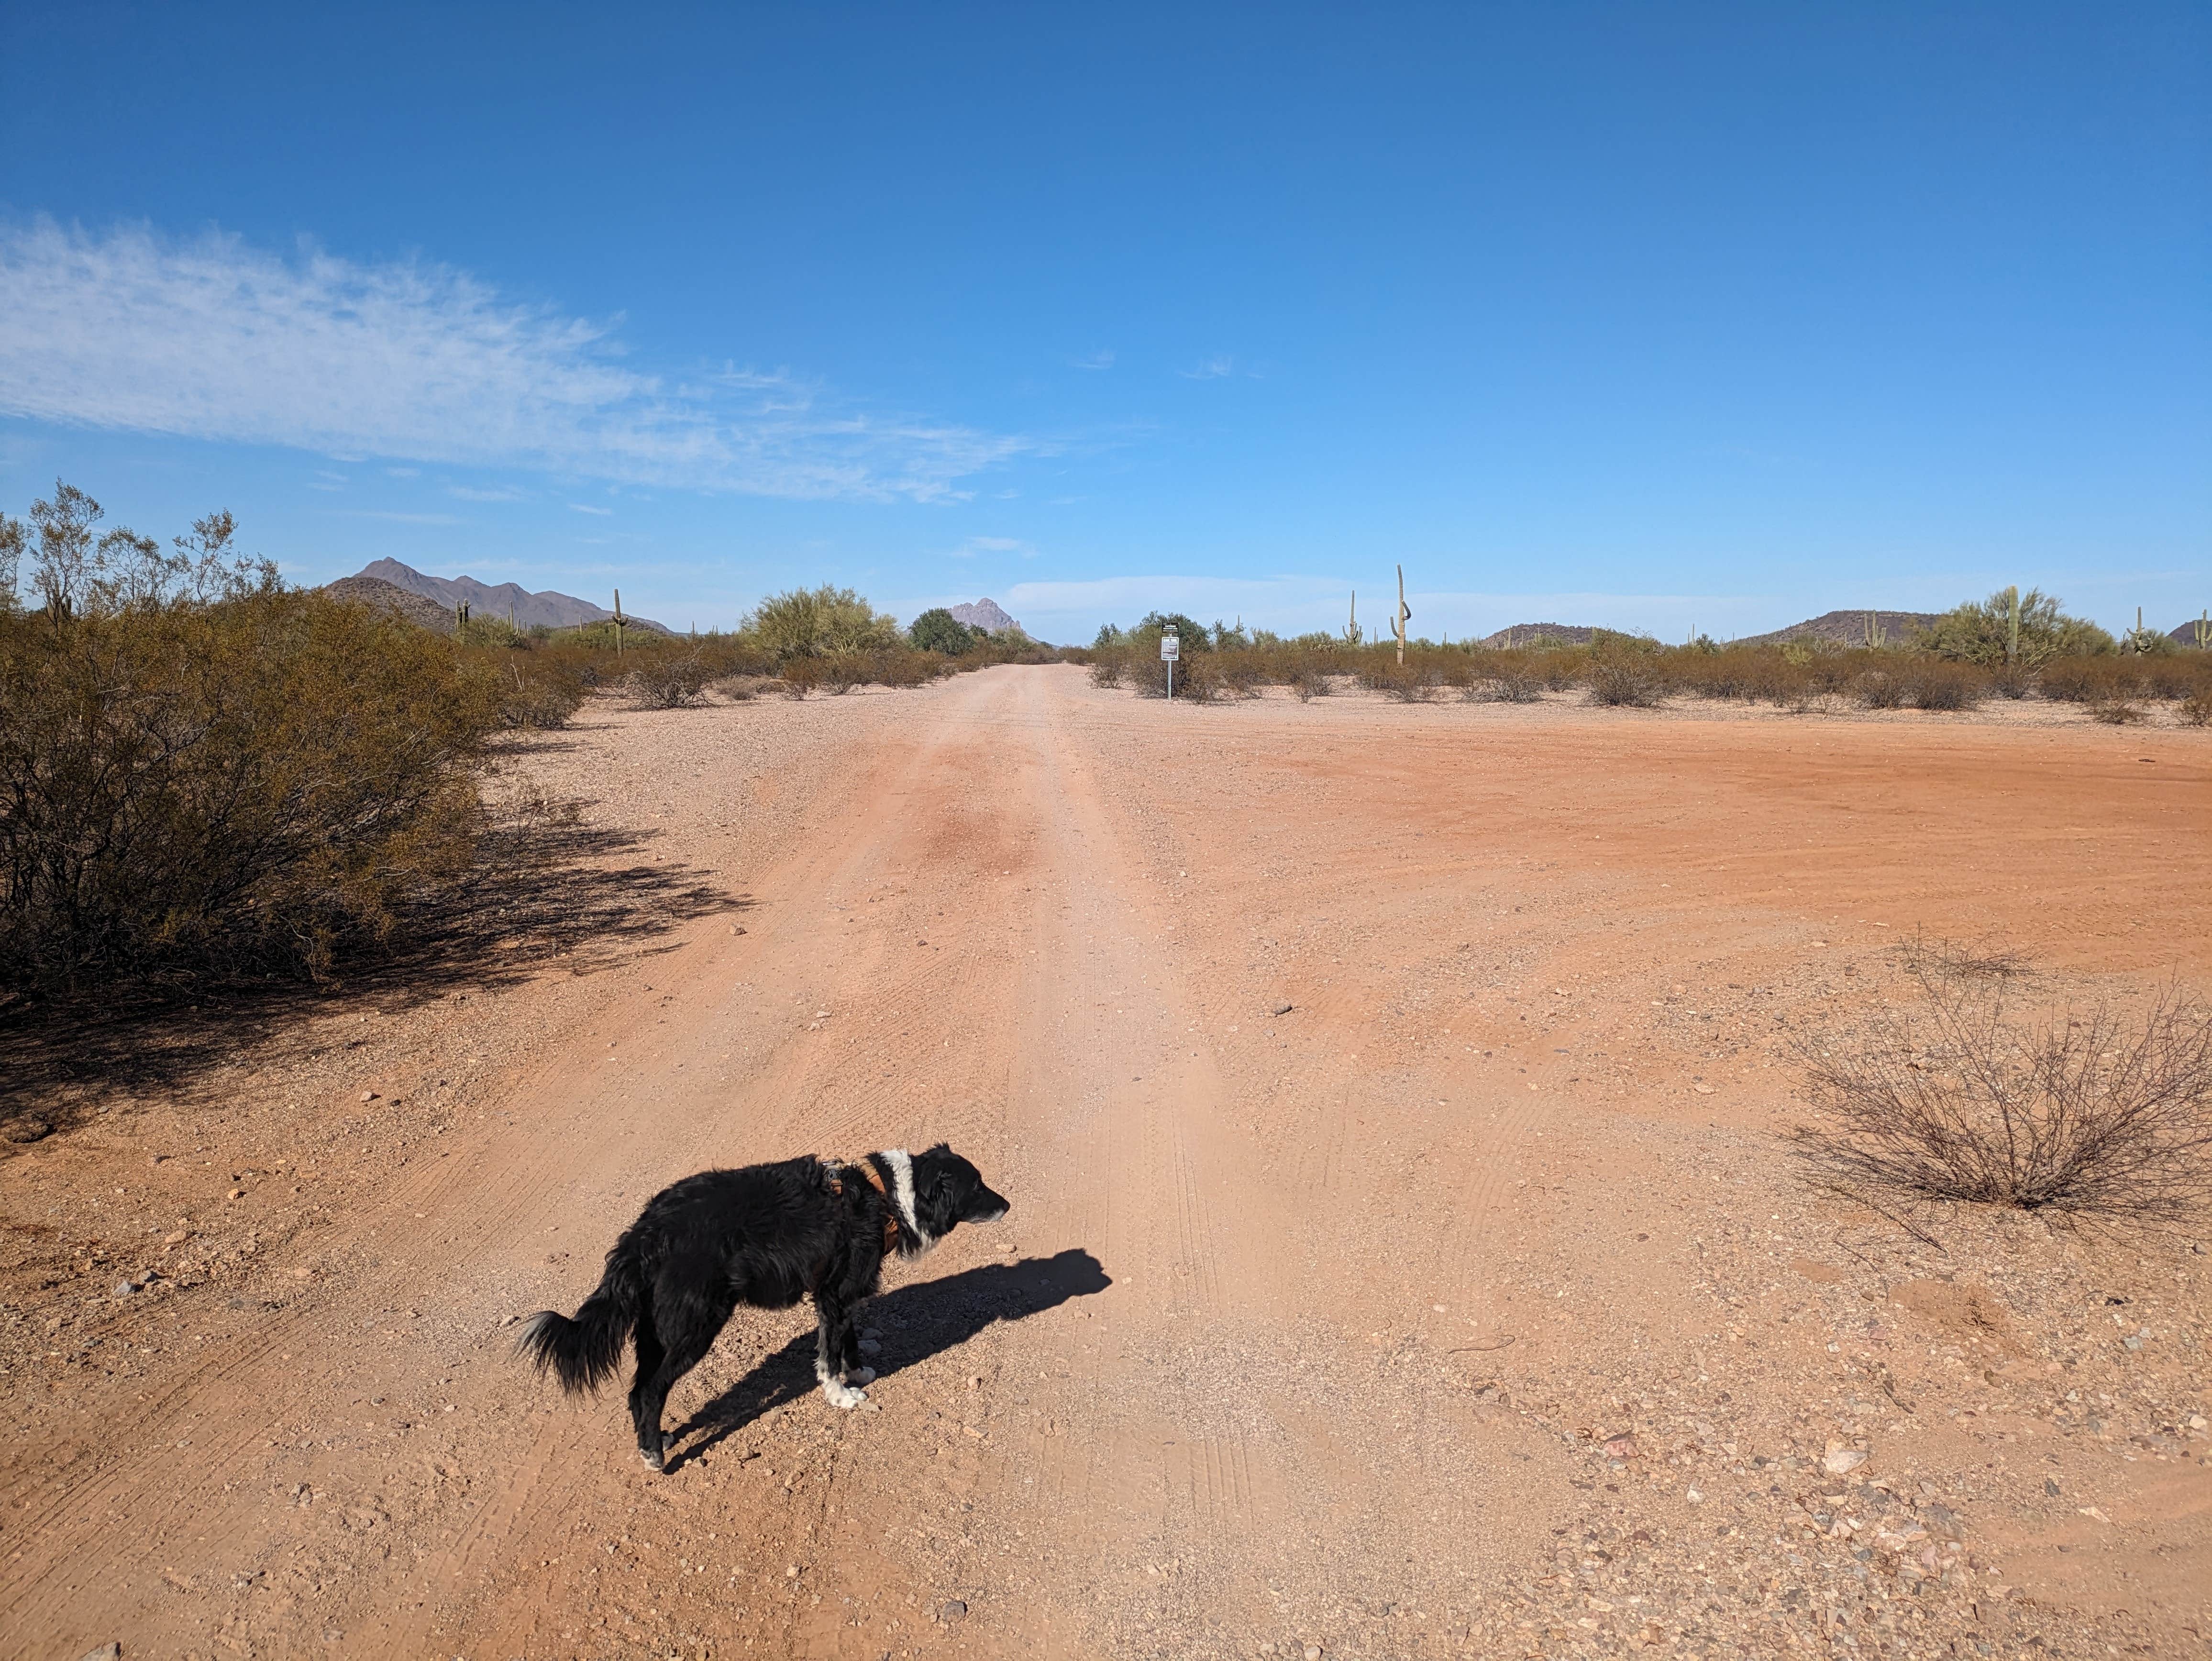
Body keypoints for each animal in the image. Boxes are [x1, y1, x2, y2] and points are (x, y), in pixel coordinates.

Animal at [522, 1150, 1008, 1477]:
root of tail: (647, 1231)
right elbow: (830, 1353)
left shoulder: (841, 1292)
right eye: (977, 1185)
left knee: (639, 1389)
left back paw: (654, 1439)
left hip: (656, 1329)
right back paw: (655, 1457)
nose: (1007, 1205)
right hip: (694, 1327)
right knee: (650, 1390)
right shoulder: (833, 1295)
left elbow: (848, 1338)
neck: (887, 1197)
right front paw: (842, 1396)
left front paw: (858, 1372)